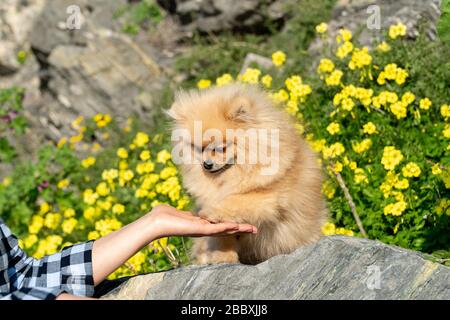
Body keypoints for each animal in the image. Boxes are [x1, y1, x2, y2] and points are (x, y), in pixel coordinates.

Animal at [167, 83, 326, 264]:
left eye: (221, 148)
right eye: (199, 149)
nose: (206, 165)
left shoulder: (269, 197)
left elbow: (236, 201)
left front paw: (212, 212)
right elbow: (223, 238)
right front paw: (223, 257)